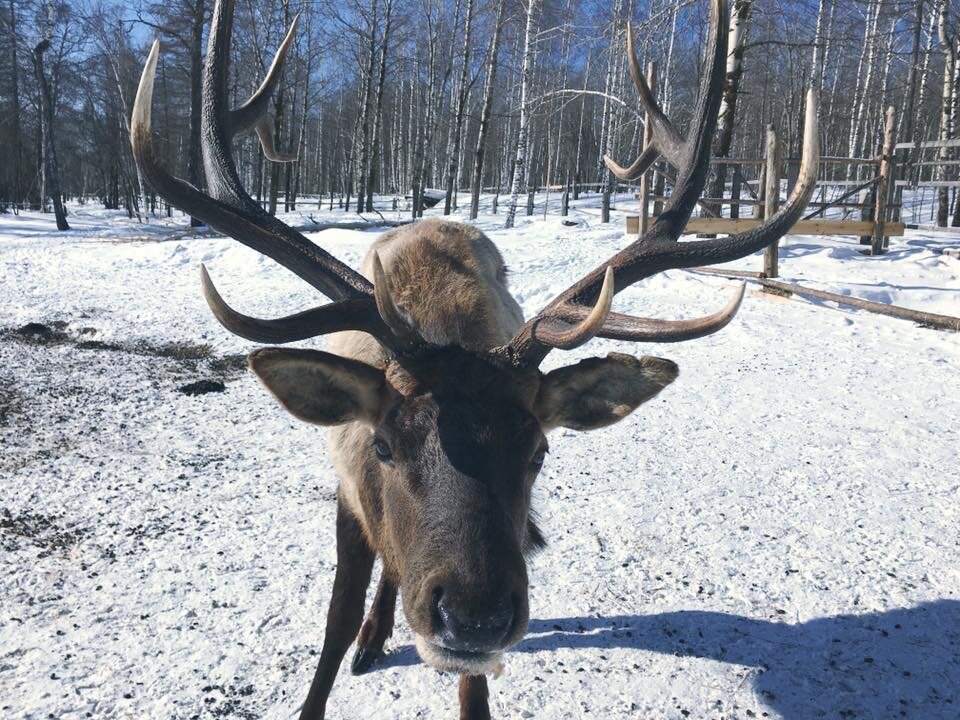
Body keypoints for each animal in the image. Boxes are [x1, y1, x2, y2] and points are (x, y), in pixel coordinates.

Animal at [127, 2, 816, 716]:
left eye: (540, 450)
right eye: (382, 445)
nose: (474, 617)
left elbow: (472, 687)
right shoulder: (347, 490)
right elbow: (335, 620)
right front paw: (345, 652)